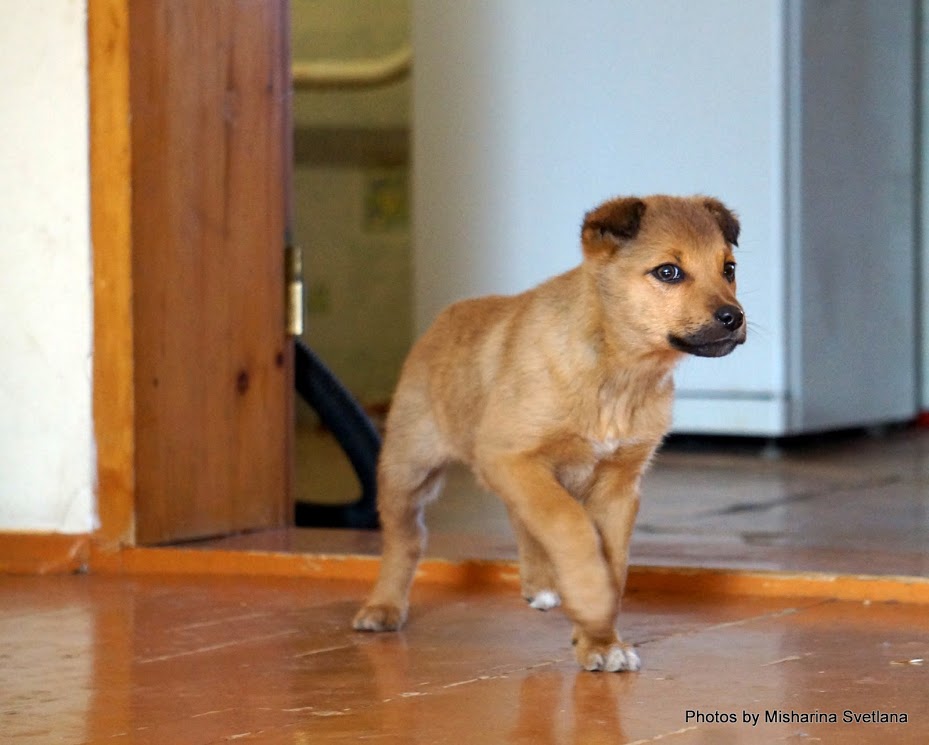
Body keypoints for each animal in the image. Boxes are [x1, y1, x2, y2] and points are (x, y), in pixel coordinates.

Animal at [353, 195, 745, 672]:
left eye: (728, 268)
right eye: (668, 272)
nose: (734, 318)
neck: (617, 373)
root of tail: (444, 317)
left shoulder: (617, 488)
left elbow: (612, 562)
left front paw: (600, 639)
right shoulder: (513, 457)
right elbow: (567, 523)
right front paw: (592, 599)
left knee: (518, 514)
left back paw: (540, 582)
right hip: (408, 470)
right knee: (406, 540)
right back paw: (383, 606)